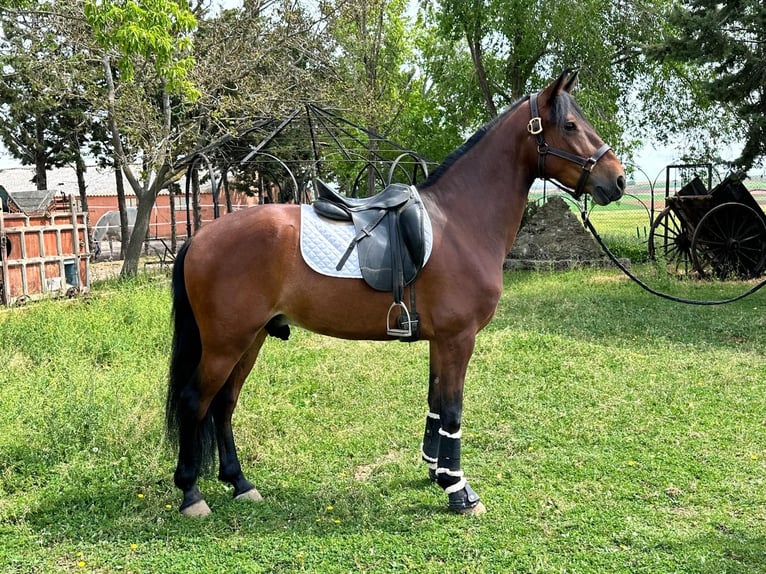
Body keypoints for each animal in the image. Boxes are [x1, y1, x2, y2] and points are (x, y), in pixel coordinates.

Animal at [165, 70, 626, 517]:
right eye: (570, 125)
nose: (618, 179)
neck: (460, 223)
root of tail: (200, 237)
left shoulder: (441, 342)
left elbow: (436, 403)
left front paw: (436, 472)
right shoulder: (458, 339)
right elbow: (453, 410)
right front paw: (459, 490)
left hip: (251, 338)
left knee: (224, 404)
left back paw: (240, 483)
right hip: (226, 343)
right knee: (195, 401)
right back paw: (191, 493)